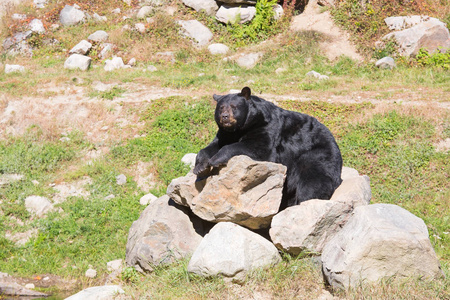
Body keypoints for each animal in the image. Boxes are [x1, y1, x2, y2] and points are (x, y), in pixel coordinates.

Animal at [194, 86, 344, 209]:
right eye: (220, 108)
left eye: (234, 106)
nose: (225, 117)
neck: (240, 128)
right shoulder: (225, 134)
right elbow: (212, 146)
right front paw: (199, 167)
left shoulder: (267, 128)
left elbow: (260, 148)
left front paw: (215, 159)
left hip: (318, 156)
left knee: (312, 182)